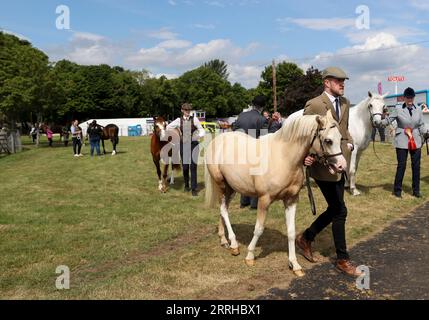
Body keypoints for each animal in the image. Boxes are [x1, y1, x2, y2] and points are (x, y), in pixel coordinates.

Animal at [203, 111, 344, 276]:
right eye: (328, 140)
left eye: (340, 138)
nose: (341, 166)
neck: (284, 158)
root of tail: (217, 140)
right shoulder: (264, 199)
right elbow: (258, 229)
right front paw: (250, 256)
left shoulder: (291, 200)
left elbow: (291, 231)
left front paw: (295, 265)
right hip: (221, 185)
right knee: (223, 210)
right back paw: (234, 245)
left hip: (231, 188)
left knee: (222, 209)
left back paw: (225, 241)